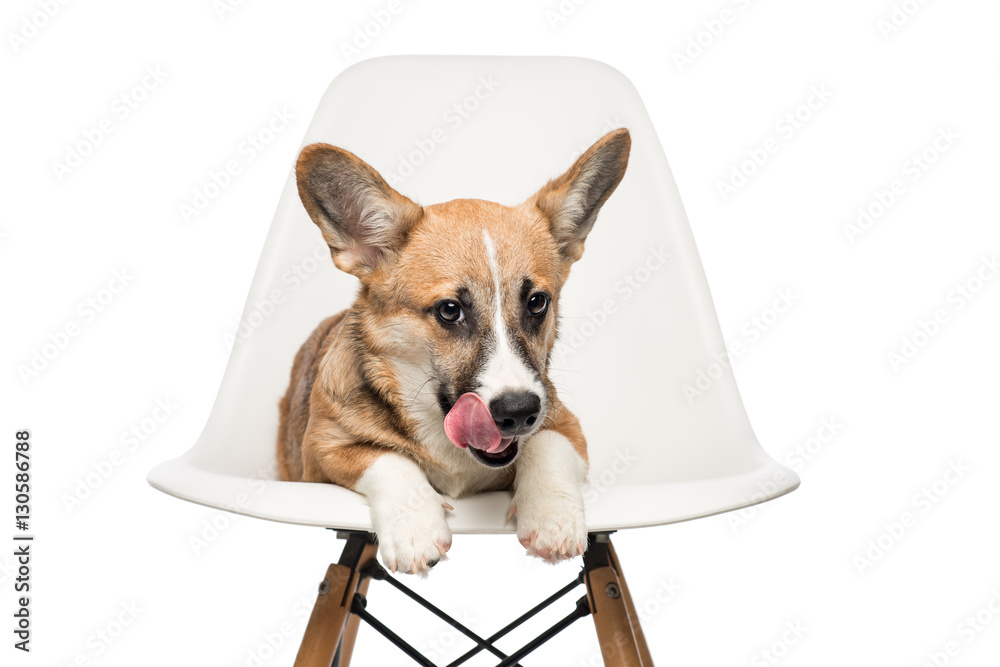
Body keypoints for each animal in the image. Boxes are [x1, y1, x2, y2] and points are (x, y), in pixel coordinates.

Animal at [278, 129, 628, 576]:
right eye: (449, 310)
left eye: (537, 302)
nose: (518, 413)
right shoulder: (321, 452)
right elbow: (386, 458)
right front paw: (415, 527)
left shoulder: (566, 424)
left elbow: (547, 445)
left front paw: (553, 517)